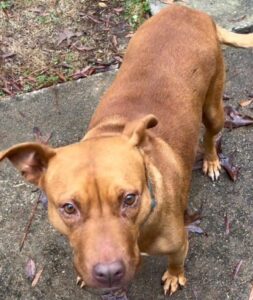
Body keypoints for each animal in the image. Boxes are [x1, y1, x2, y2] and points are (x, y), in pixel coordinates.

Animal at [1, 4, 253, 296]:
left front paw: (174, 275)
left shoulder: (180, 243)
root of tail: (187, 9)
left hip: (214, 108)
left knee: (211, 135)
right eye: (68, 208)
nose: (109, 273)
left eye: (130, 199)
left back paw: (211, 160)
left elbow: (176, 262)